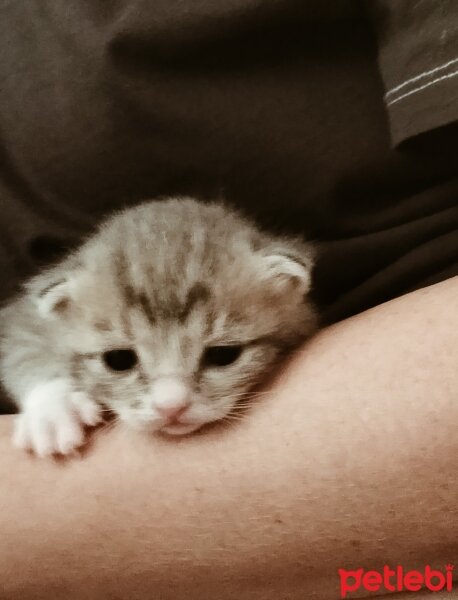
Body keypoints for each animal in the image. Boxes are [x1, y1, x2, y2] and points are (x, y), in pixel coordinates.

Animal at [0, 197, 316, 454]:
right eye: (118, 359)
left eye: (224, 354)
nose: (171, 407)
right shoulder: (22, 315)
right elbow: (21, 347)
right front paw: (53, 409)